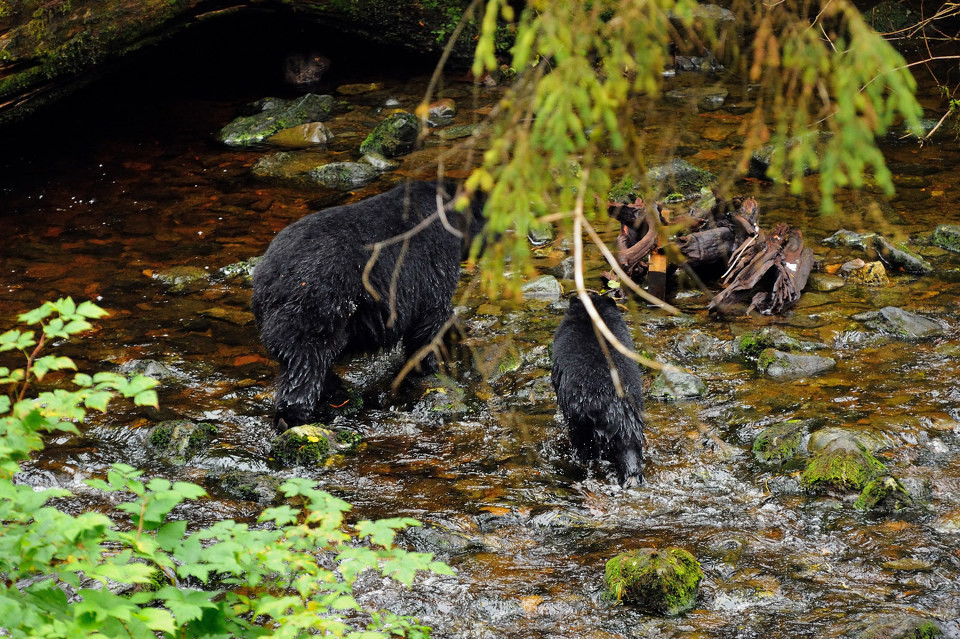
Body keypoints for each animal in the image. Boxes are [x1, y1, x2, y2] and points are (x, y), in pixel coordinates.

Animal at [251, 180, 484, 430]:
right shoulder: (432, 260)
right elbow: (429, 319)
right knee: (305, 364)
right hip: (312, 308)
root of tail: (267, 279)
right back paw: (293, 418)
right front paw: (428, 365)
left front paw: (460, 330)